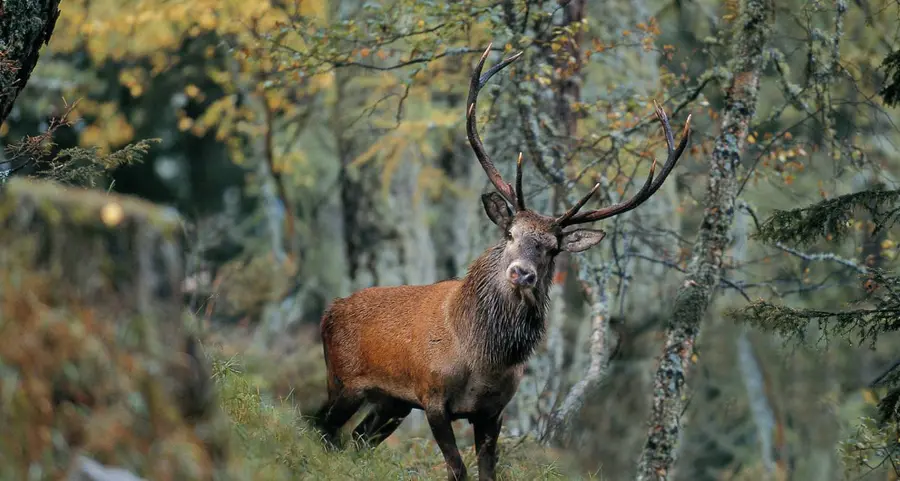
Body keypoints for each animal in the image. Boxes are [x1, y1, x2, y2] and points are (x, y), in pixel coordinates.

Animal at [311, 43, 691, 481]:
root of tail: (328, 312)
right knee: (319, 427)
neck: (482, 359)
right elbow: (458, 470)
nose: (521, 272)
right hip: (344, 379)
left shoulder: (493, 412)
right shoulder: (433, 395)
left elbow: (487, 472)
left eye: (551, 248)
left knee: (355, 440)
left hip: (392, 403)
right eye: (510, 234)